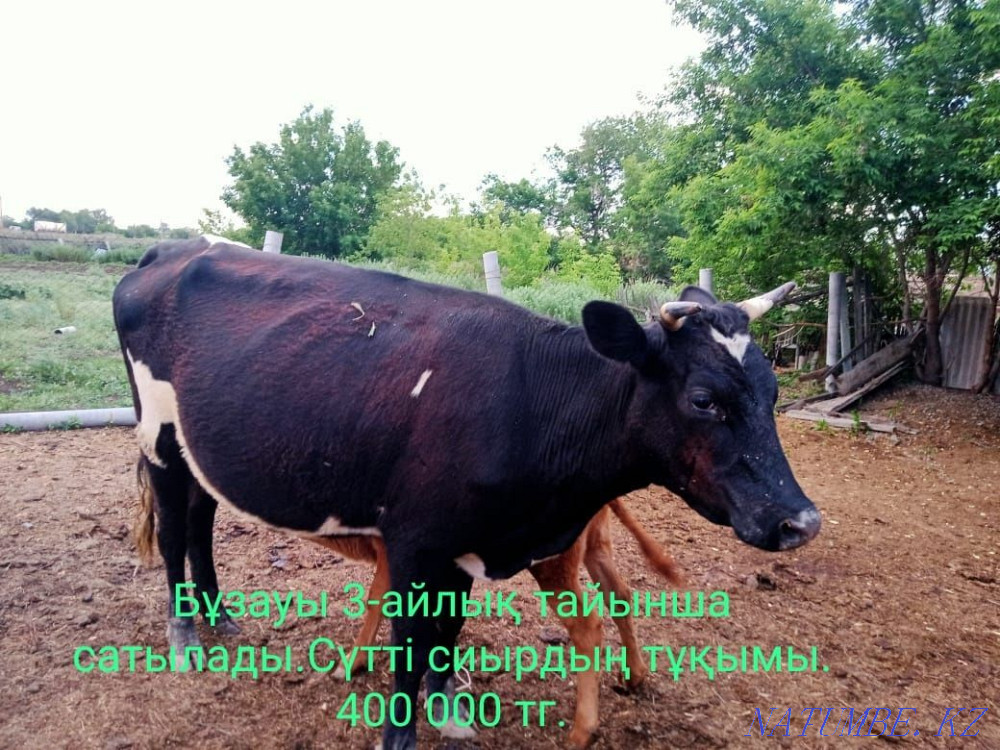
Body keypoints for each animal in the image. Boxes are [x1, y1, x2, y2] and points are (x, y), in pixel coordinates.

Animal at [312, 498, 683, 748]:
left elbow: (377, 603)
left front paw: (350, 665)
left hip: (554, 562)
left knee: (587, 624)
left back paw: (581, 732)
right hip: (596, 545)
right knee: (620, 595)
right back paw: (635, 675)